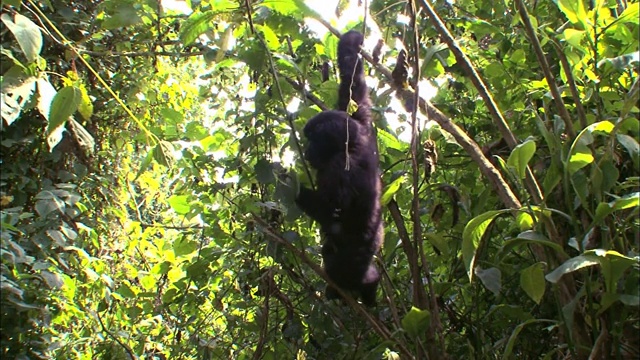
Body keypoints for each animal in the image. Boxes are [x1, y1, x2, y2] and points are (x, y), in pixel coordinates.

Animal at [296, 31, 380, 306]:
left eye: (313, 139)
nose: (307, 150)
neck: (349, 145)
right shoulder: (360, 119)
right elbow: (352, 85)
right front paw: (351, 41)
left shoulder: (340, 170)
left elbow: (331, 210)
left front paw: (284, 178)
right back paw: (372, 284)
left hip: (349, 265)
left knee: (339, 269)